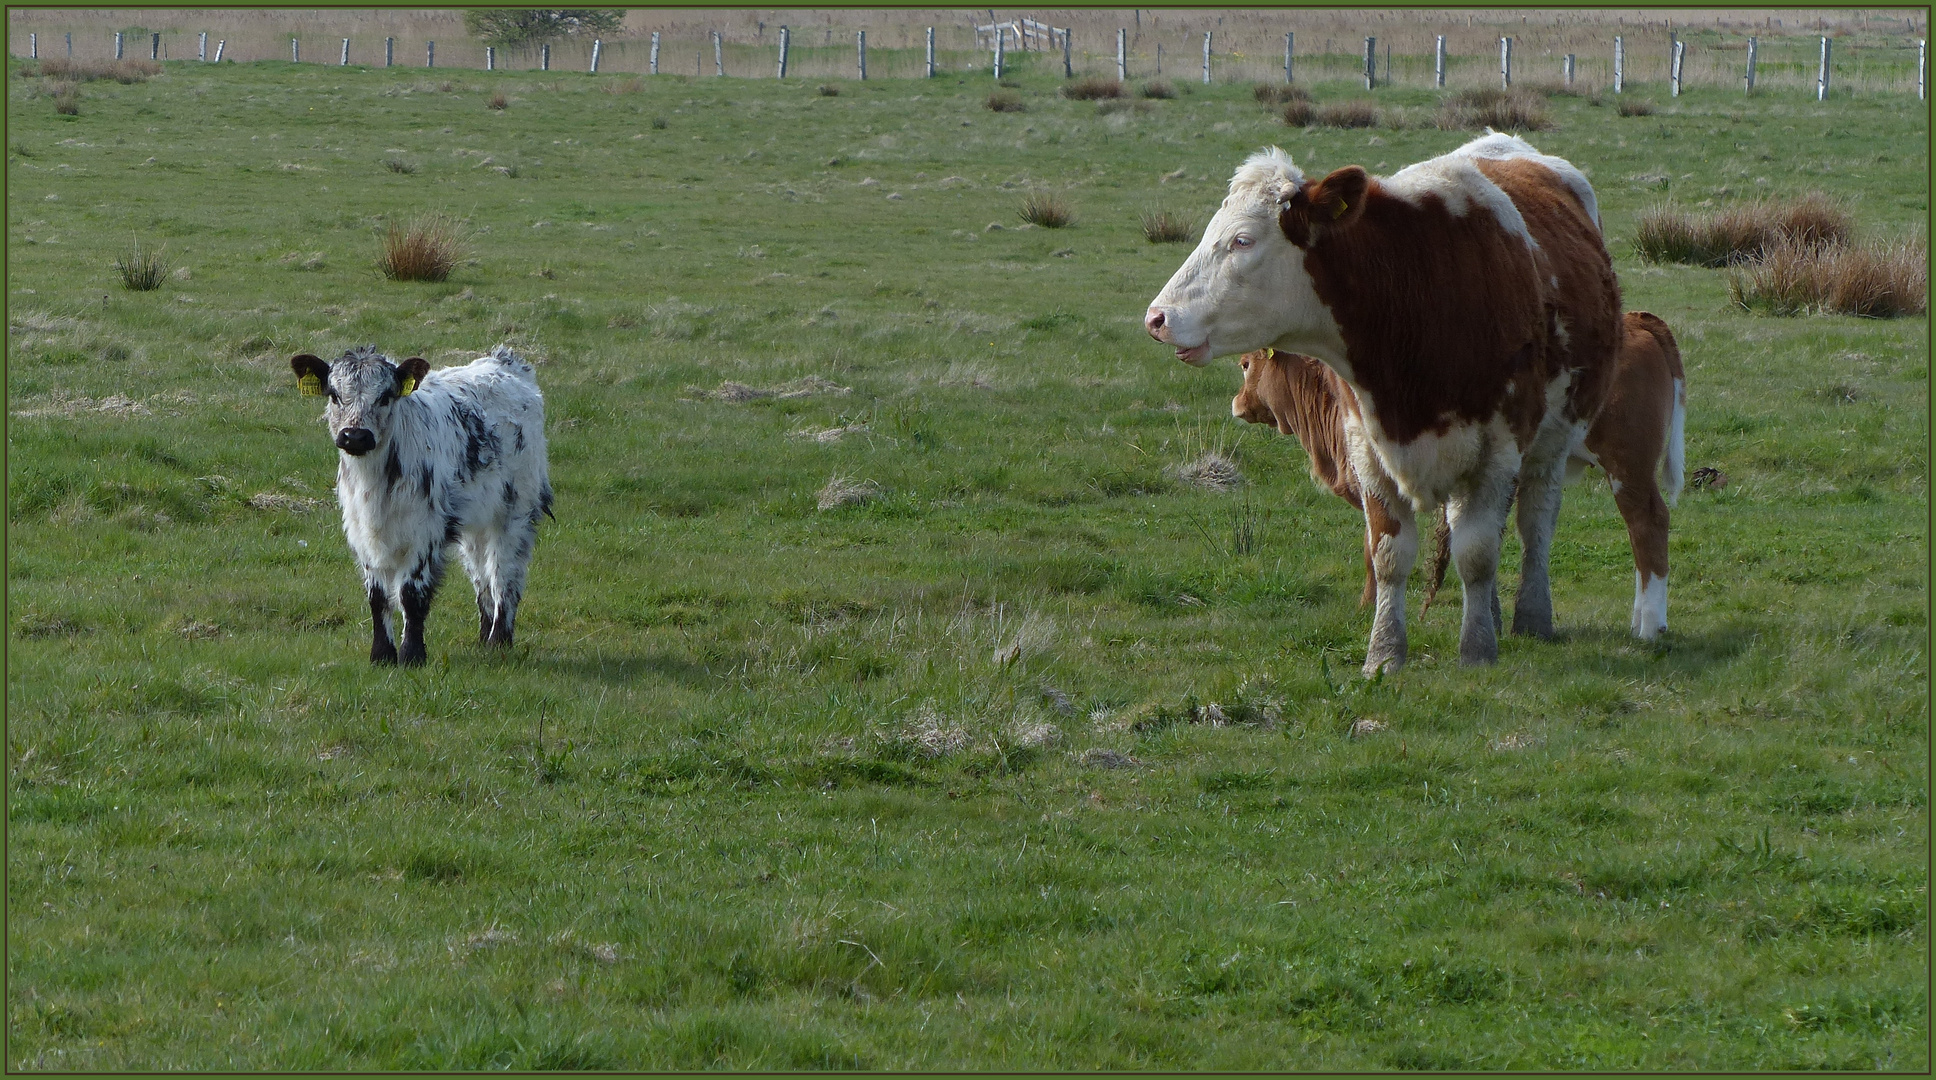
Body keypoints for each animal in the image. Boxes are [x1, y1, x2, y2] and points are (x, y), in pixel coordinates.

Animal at [290, 346, 557, 669]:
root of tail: (504, 362)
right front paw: (381, 655)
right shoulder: (361, 533)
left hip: (516, 511)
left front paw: (412, 655)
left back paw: (499, 641)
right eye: (334, 395)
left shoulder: (425, 533)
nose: (355, 436)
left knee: (504, 574)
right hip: (476, 521)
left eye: (385, 396)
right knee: (480, 575)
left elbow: (411, 594)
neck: (374, 488)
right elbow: (377, 596)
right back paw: (484, 638)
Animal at [1153, 133, 1626, 677]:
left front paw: (1477, 651)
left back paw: (1531, 616)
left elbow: (1477, 554)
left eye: (1242, 241)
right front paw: (1383, 655)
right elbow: (1389, 554)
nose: (1157, 318)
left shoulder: (1499, 449)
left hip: (1552, 441)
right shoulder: (1367, 447)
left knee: (1535, 525)